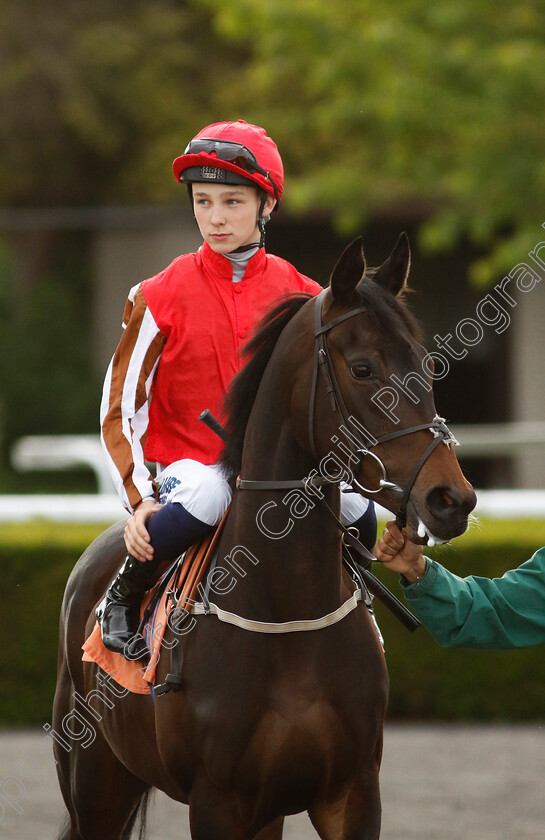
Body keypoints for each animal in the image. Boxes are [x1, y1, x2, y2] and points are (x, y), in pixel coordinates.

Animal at [53, 235, 474, 840]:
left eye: (425, 365)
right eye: (363, 368)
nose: (450, 499)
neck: (287, 618)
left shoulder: (350, 793)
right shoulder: (217, 801)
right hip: (96, 782)